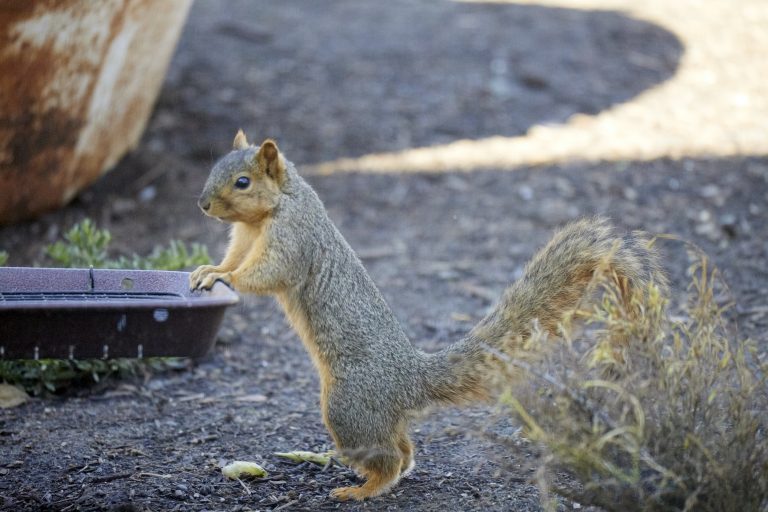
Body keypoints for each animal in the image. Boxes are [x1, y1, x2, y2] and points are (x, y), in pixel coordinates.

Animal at [190, 131, 667, 501]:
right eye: (213, 168)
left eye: (243, 182)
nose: (203, 204)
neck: (268, 214)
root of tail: (411, 379)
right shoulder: (243, 238)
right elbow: (234, 258)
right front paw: (208, 269)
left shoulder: (293, 238)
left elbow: (265, 272)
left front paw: (223, 277)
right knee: (403, 451)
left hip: (348, 406)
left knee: (387, 457)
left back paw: (360, 490)